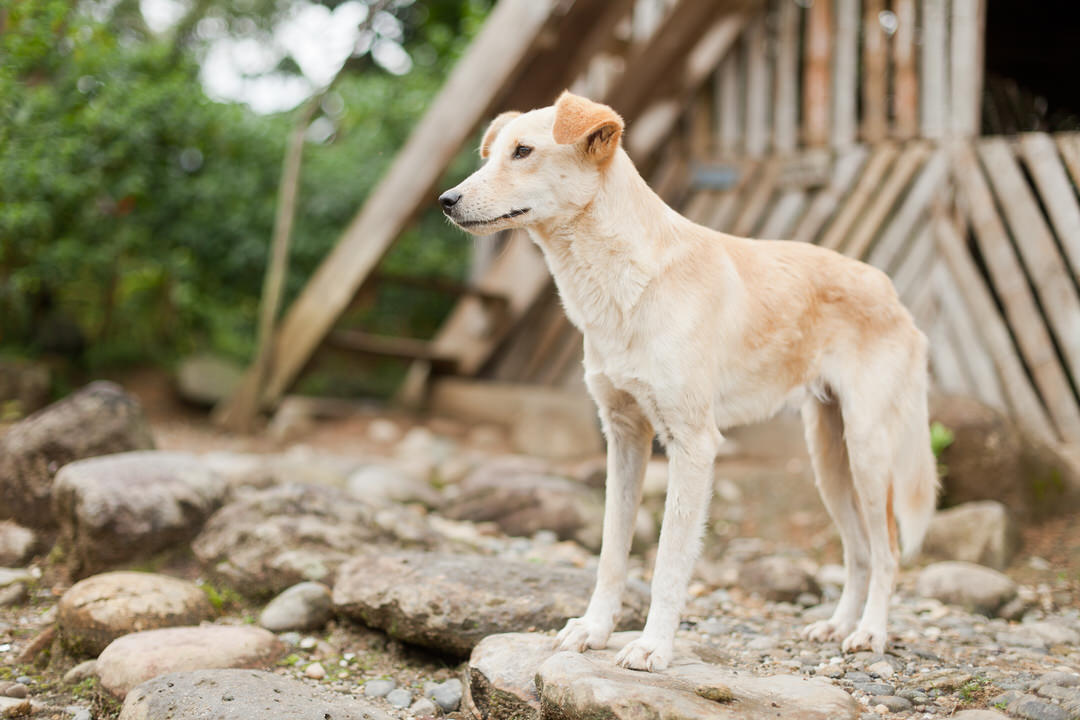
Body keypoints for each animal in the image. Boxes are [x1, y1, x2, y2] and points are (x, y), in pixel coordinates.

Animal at [438, 91, 937, 677]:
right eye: (492, 154)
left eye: (522, 152)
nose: (446, 200)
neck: (625, 281)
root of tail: (889, 289)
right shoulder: (624, 438)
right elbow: (611, 551)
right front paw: (595, 629)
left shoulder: (693, 445)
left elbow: (669, 565)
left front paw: (654, 646)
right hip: (828, 462)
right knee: (858, 551)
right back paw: (838, 625)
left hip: (867, 452)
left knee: (888, 552)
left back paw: (871, 632)